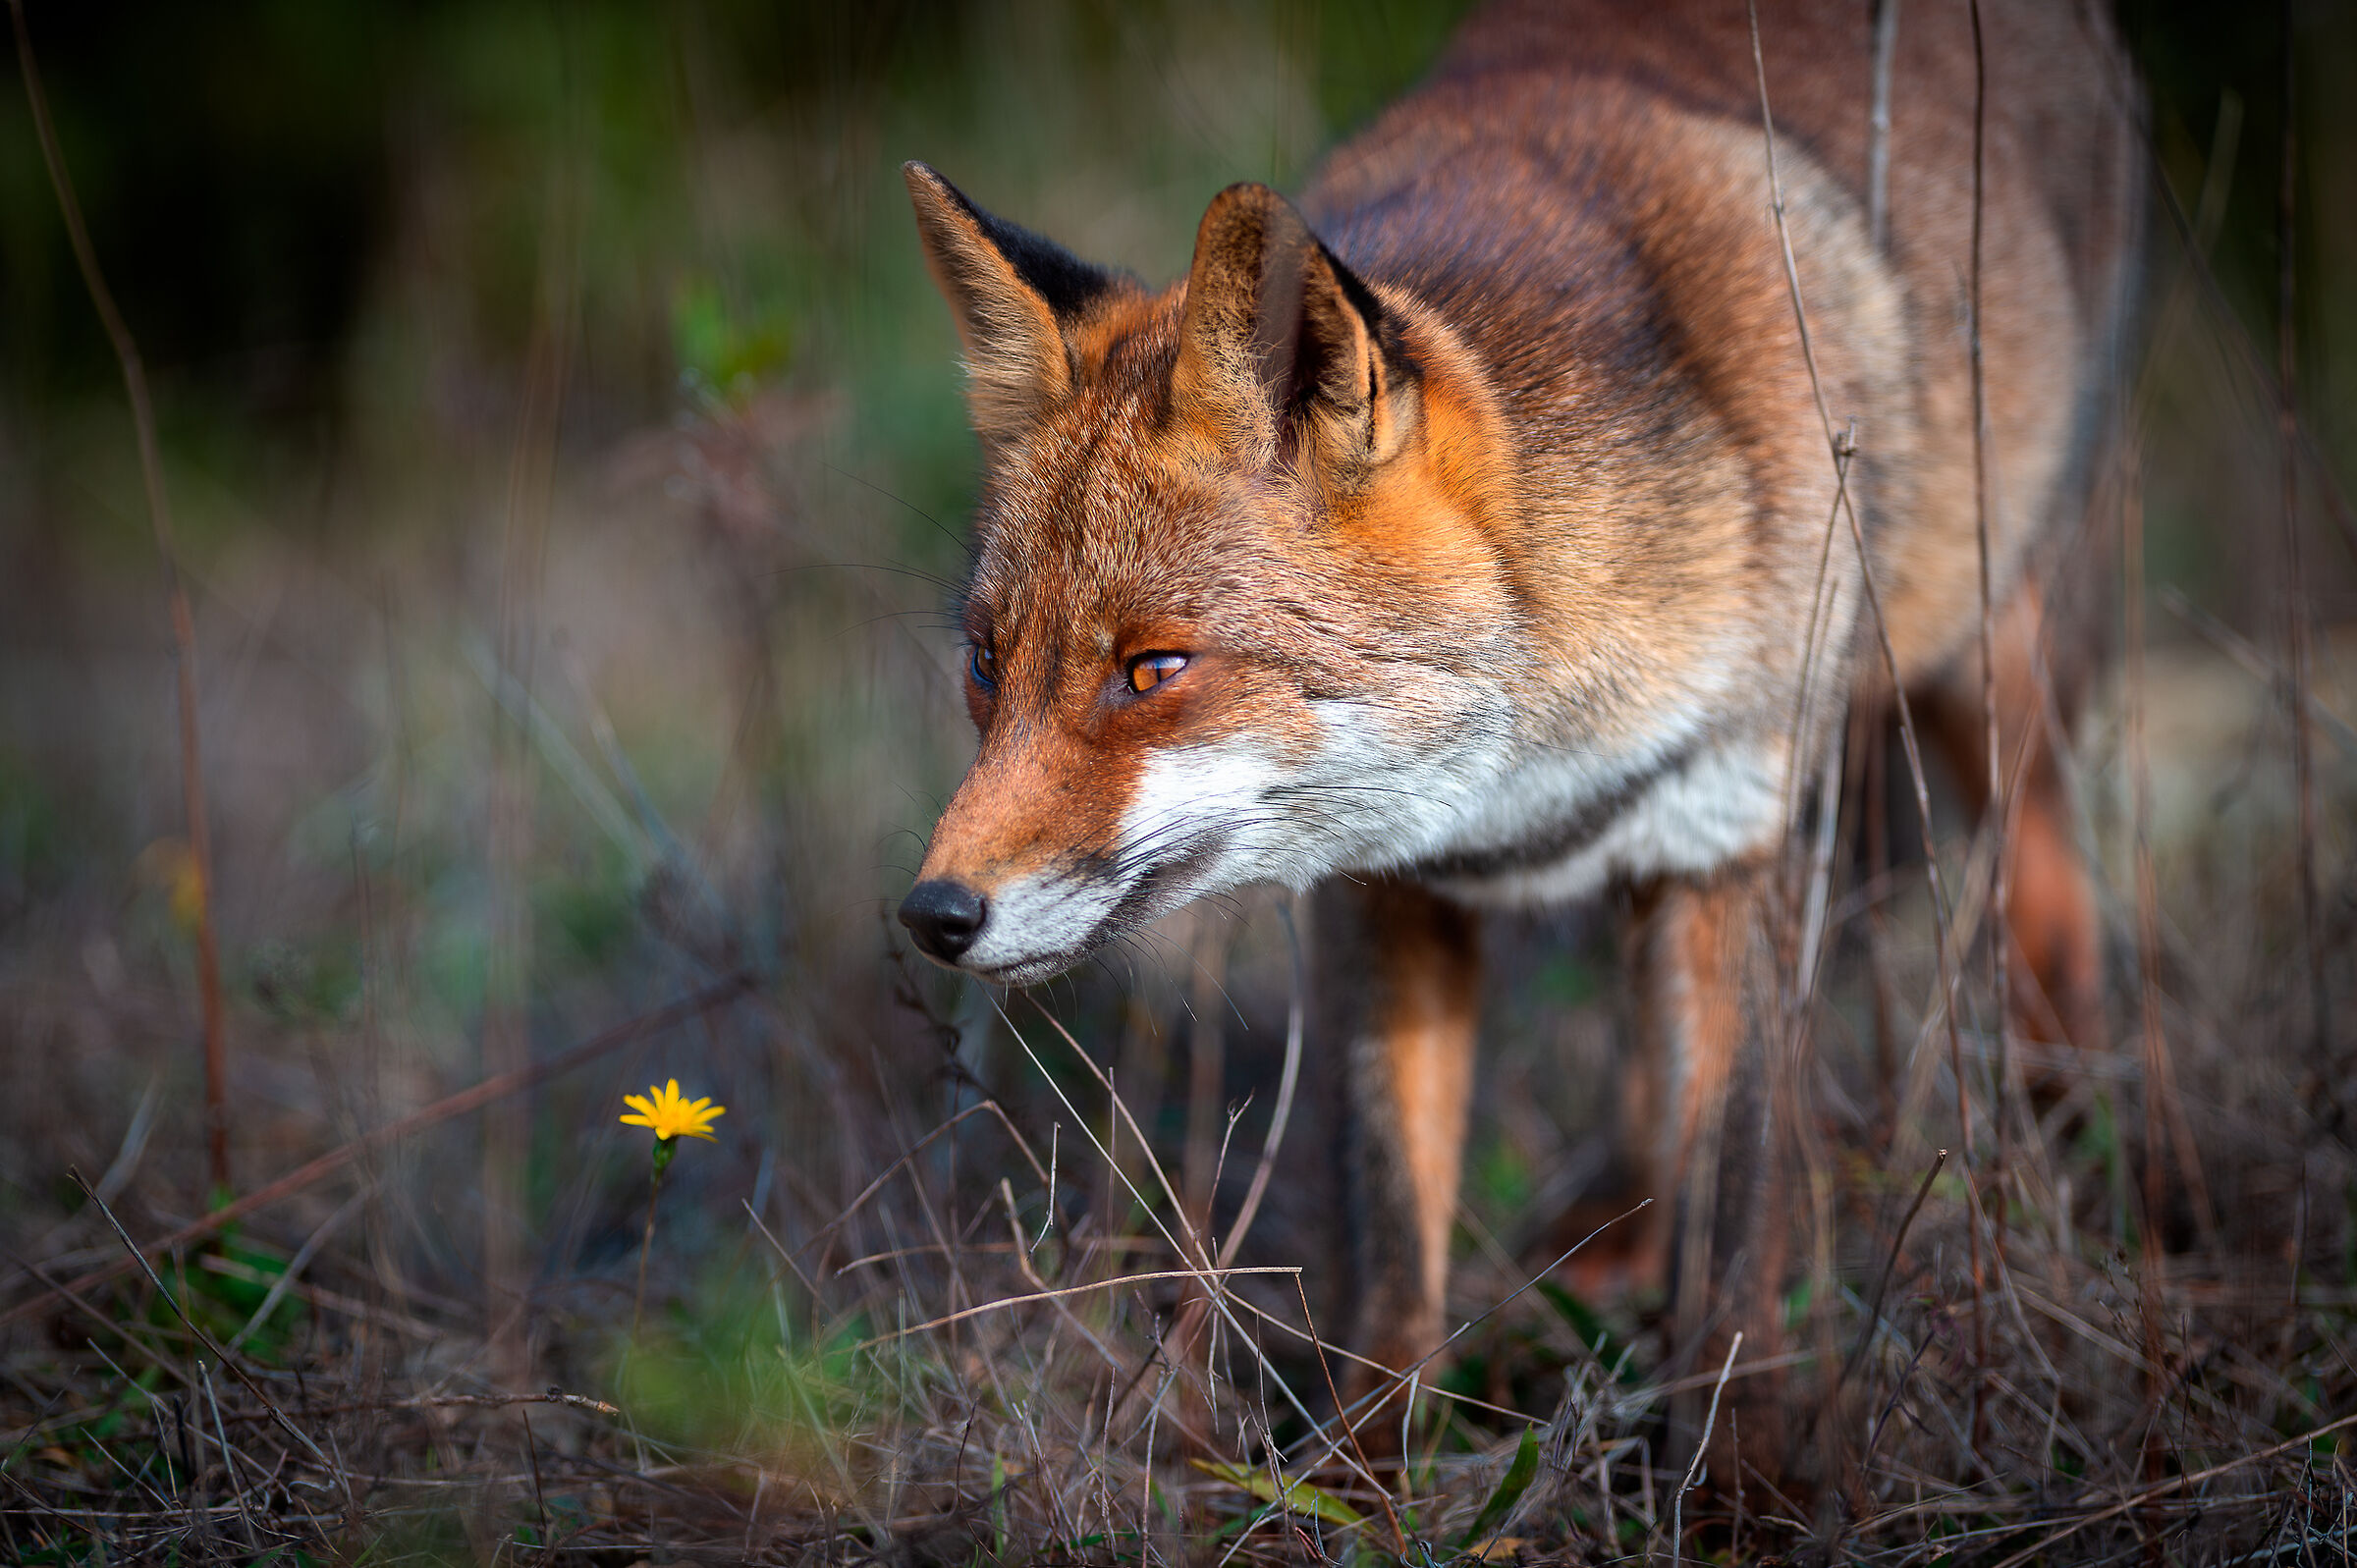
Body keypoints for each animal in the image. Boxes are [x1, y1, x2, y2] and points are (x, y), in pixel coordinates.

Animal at [896, 0, 2137, 1465]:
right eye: (987, 665)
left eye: (1152, 670)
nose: (933, 914)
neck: (1523, 784)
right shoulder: (1393, 894)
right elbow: (1391, 1236)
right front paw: (1366, 1473)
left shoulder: (1734, 833)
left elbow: (1736, 1218)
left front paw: (1740, 1468)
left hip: (1991, 655)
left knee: (2048, 879)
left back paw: (2083, 1146)